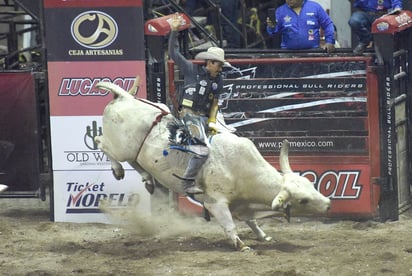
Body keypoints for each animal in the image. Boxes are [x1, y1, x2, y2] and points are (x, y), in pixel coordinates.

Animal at [94, 81, 332, 251]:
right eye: (303, 200)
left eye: (311, 185)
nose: (329, 204)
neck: (244, 172)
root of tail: (125, 97)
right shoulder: (216, 203)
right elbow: (229, 224)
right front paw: (240, 244)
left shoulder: (242, 204)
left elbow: (252, 221)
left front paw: (264, 236)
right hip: (120, 147)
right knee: (101, 143)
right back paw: (117, 170)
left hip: (135, 152)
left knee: (135, 161)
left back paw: (147, 180)